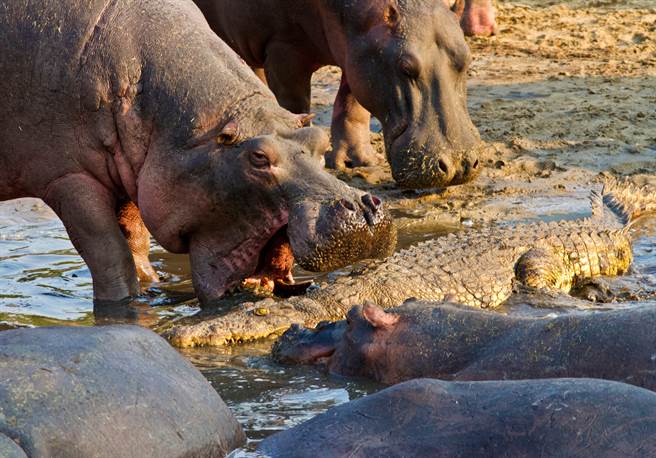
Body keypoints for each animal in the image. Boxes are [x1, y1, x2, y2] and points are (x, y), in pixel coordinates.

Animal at [0, 1, 394, 308]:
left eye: (318, 140)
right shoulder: (68, 178)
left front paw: (150, 288)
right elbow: (108, 252)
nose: (363, 210)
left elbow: (135, 238)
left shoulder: (133, 165)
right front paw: (123, 306)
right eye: (259, 158)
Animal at [192, 0, 480, 188]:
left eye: (466, 58)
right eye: (406, 67)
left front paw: (358, 162)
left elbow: (352, 106)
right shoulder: (283, 48)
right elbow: (295, 104)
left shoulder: (357, 55)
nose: (460, 164)